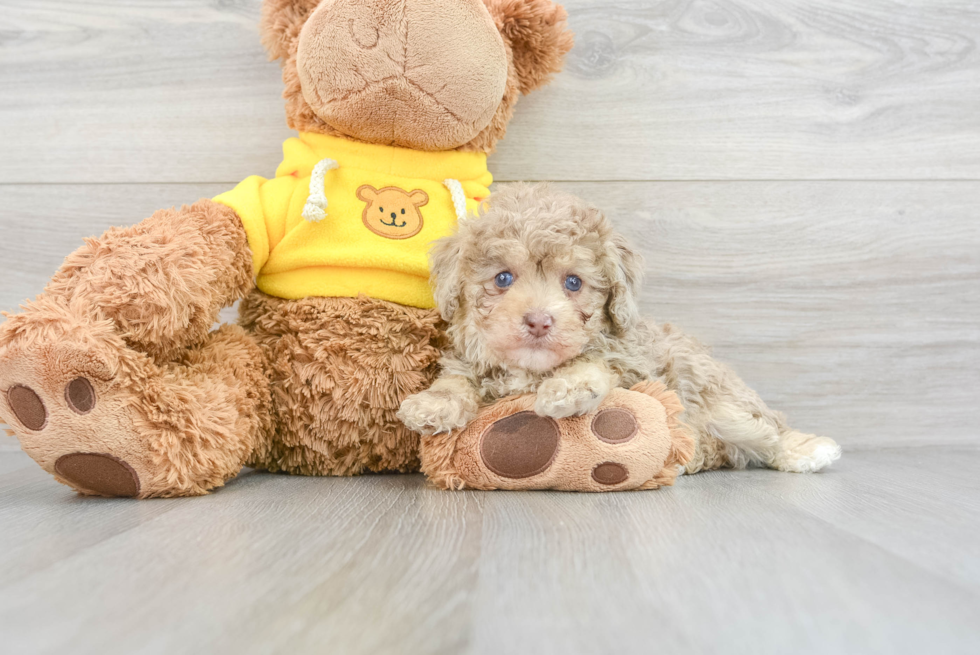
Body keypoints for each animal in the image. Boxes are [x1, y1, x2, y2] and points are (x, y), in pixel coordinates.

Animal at [398, 182, 844, 474]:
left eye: (573, 282)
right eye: (503, 278)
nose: (539, 320)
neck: (530, 371)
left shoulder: (632, 362)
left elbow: (596, 362)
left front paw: (569, 387)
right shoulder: (467, 362)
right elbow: (455, 381)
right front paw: (432, 404)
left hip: (722, 401)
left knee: (767, 430)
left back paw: (806, 450)